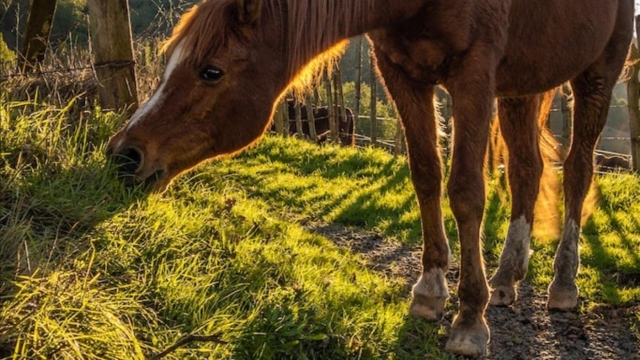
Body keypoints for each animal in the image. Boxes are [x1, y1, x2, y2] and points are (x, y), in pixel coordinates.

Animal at [106, 0, 636, 354]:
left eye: (211, 71)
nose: (124, 155)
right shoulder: (401, 73)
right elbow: (426, 175)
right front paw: (430, 291)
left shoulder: (473, 73)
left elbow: (466, 190)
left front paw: (469, 318)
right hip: (523, 84)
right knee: (527, 169)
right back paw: (507, 278)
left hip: (597, 72)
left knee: (578, 171)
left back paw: (563, 284)